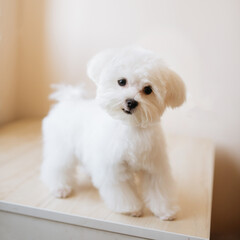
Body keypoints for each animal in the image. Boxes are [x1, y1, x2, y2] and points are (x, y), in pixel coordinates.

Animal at [41, 46, 186, 220]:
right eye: (121, 81)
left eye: (148, 90)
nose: (131, 102)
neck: (130, 127)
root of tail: (69, 99)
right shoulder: (114, 168)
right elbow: (121, 191)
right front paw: (131, 208)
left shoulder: (154, 167)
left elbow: (159, 189)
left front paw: (165, 210)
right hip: (62, 149)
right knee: (56, 167)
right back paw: (60, 188)